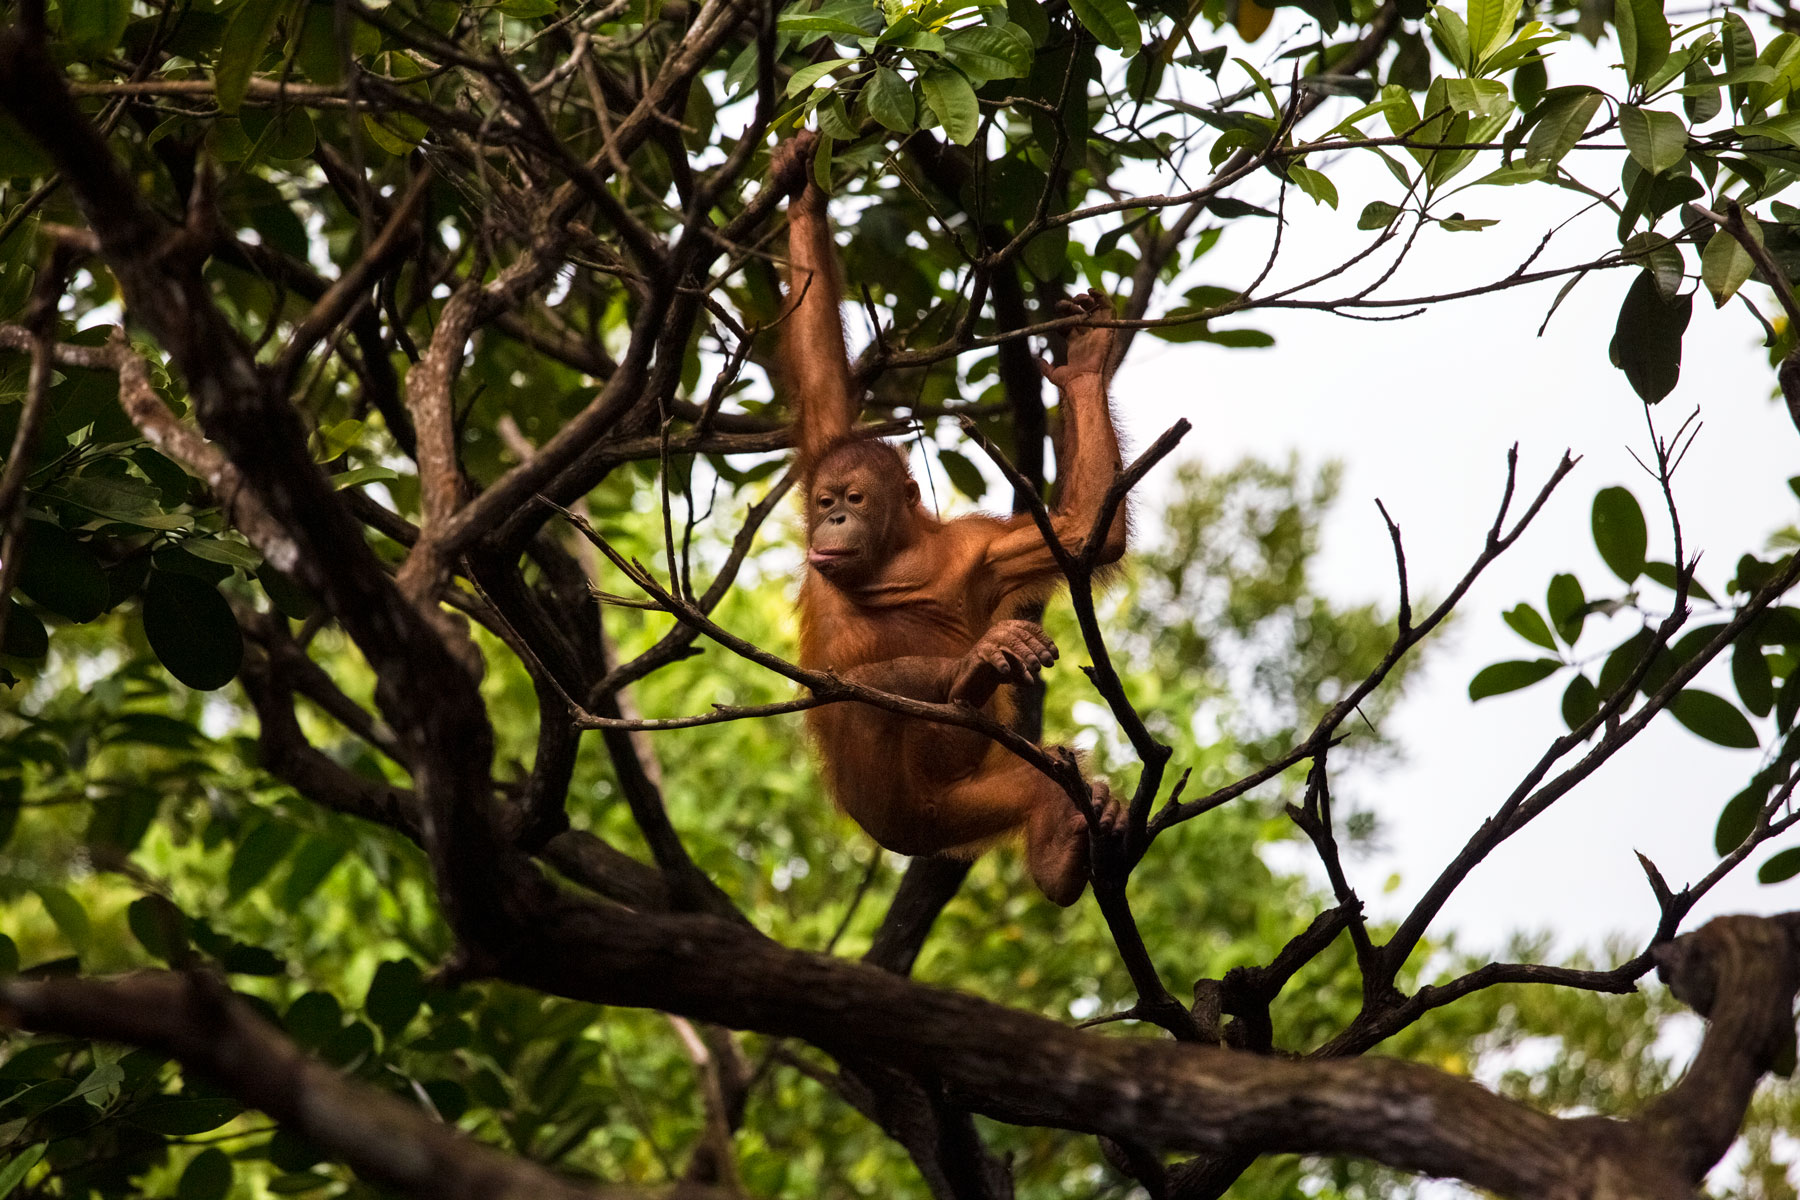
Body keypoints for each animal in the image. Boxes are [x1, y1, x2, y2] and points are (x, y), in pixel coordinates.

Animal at [769, 132, 1128, 906]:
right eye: (825, 501)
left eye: (854, 501)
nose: (830, 523)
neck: (897, 554)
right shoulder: (819, 458)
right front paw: (803, 192)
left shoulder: (982, 546)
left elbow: (1086, 530)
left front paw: (1086, 362)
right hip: (893, 806)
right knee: (864, 700)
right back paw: (970, 681)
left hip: (960, 804)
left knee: (1035, 781)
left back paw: (1060, 844)